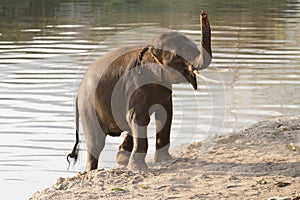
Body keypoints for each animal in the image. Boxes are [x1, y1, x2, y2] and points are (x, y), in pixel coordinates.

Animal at [68, 10, 213, 171]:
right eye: (177, 55)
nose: (203, 13)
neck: (150, 46)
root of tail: (78, 92)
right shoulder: (134, 84)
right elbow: (139, 117)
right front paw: (138, 168)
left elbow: (165, 113)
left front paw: (165, 160)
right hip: (88, 108)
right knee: (96, 142)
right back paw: (92, 171)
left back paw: (122, 157)